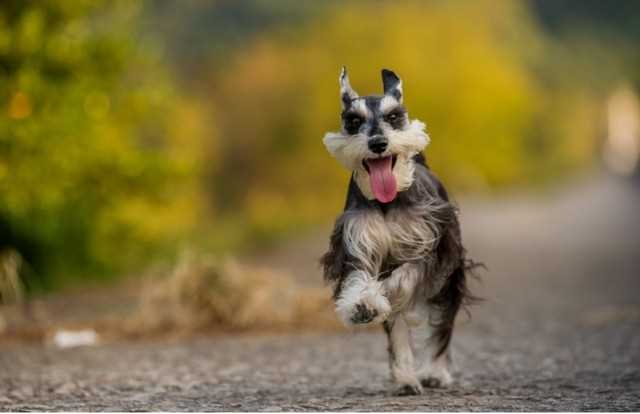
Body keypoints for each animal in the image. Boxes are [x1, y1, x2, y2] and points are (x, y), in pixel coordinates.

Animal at [320, 67, 476, 394]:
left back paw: (434, 372)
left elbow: (404, 278)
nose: (379, 143)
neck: (387, 202)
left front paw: (385, 292)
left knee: (442, 325)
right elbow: (361, 280)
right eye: (354, 120)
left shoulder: (431, 250)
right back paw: (405, 377)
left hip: (450, 278)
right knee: (398, 328)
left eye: (393, 116)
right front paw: (364, 304)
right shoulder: (357, 244)